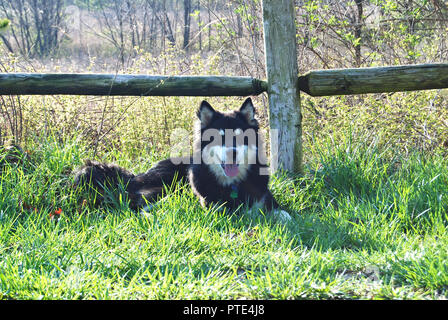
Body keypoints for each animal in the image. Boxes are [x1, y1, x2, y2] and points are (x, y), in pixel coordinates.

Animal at [72, 99, 290, 224]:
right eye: (218, 138)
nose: (232, 154)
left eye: (240, 137)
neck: (233, 185)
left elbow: (284, 214)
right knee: (133, 207)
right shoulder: (212, 205)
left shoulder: (265, 198)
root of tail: (134, 177)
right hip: (164, 189)